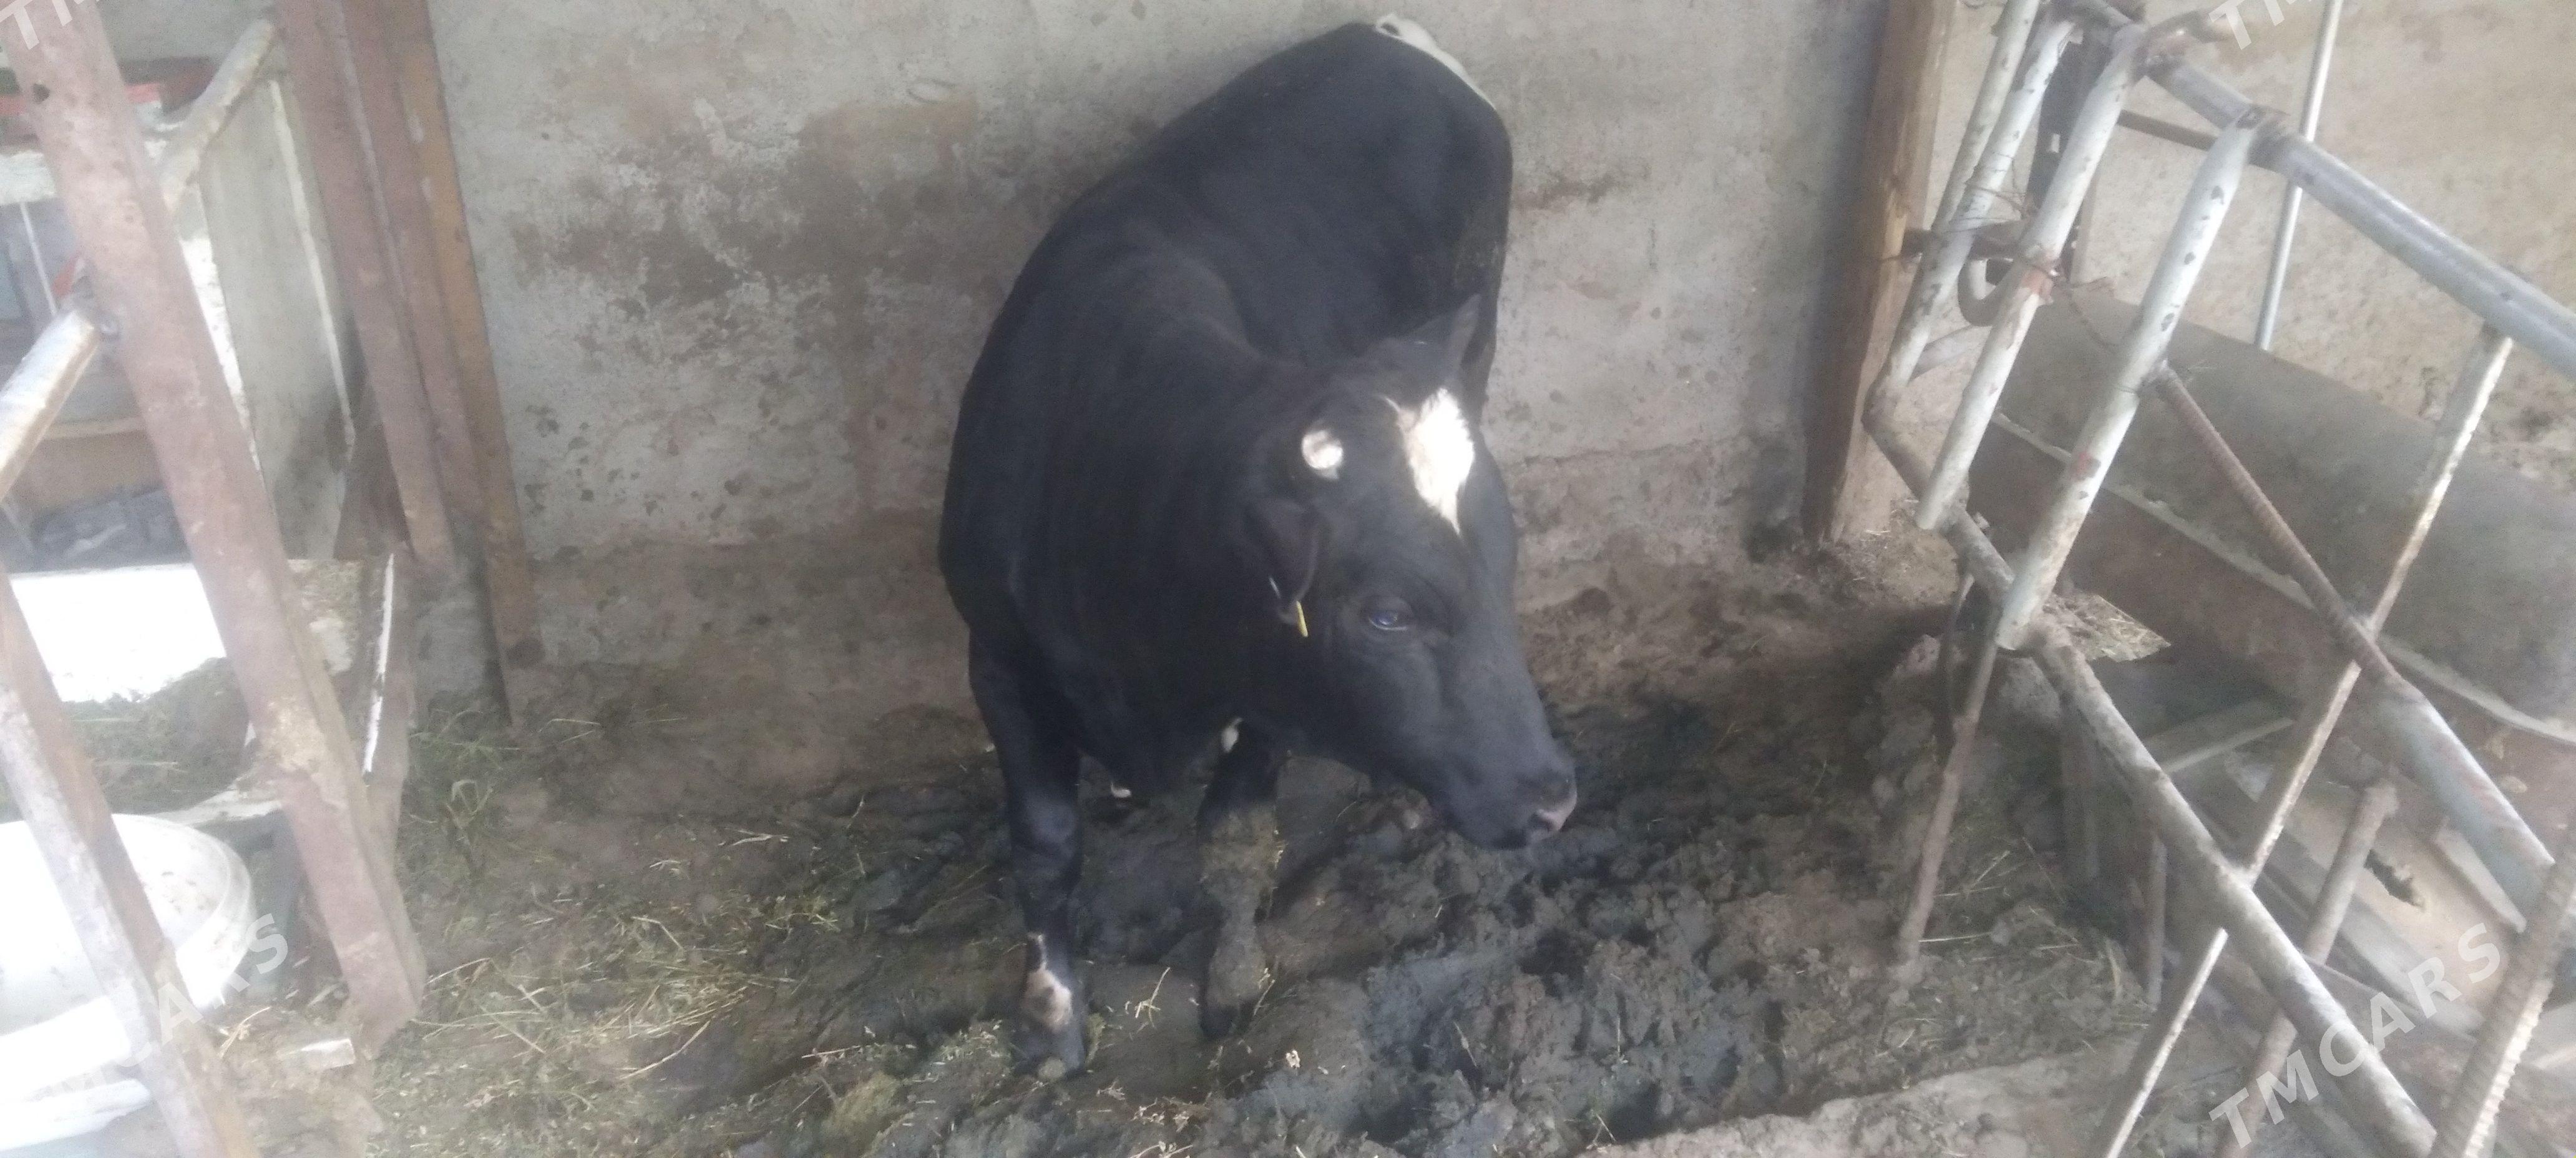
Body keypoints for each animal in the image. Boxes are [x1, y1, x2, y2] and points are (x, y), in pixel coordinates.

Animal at [938, 15, 1575, 1078]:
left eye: (1504, 570)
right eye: (1386, 614)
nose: (1554, 803)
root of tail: (1386, 33)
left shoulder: (1275, 681)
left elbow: (1234, 838)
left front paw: (1232, 982)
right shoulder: (996, 651)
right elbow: (1044, 840)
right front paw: (1052, 1014)